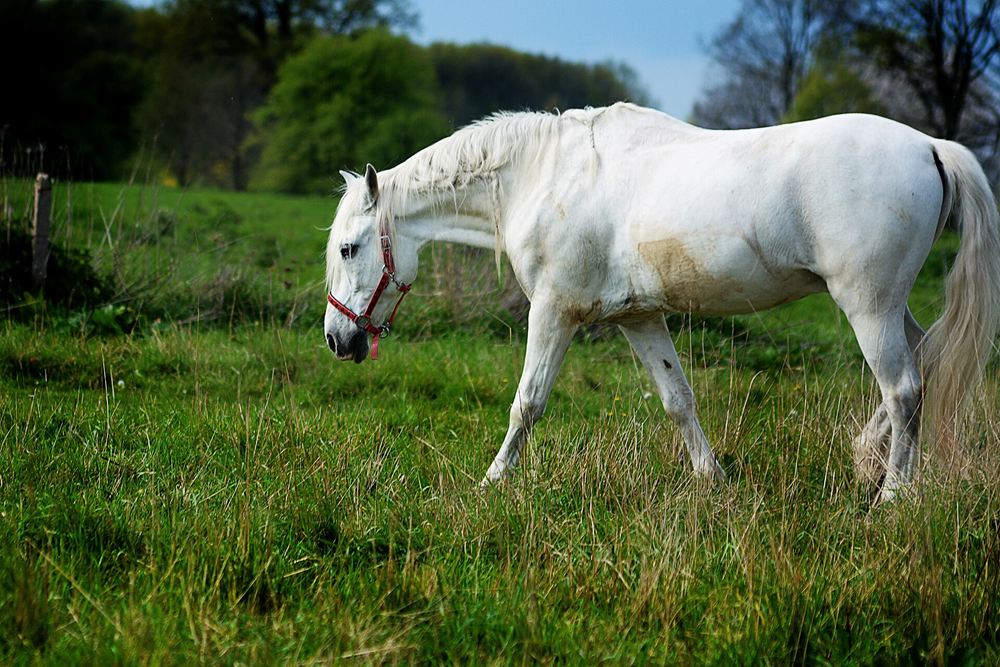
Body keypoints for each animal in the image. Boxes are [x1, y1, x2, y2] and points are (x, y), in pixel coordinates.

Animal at [323, 102, 1000, 504]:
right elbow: (679, 400)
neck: (544, 176)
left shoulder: (554, 312)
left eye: (351, 249)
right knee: (925, 360)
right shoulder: (640, 318)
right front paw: (713, 480)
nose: (338, 339)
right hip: (887, 307)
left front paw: (492, 482)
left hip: (868, 305)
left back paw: (891, 498)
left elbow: (527, 404)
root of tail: (930, 146)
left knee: (905, 387)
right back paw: (866, 459)